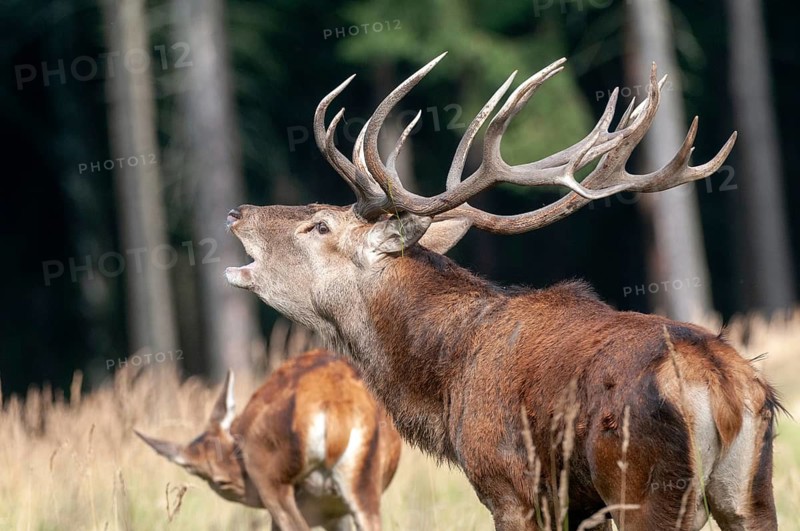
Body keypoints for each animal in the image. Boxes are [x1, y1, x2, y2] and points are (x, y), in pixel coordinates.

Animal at [223, 53, 782, 530]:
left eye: (320, 226)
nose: (237, 212)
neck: (445, 381)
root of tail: (724, 386)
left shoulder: (507, 486)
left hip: (645, 487)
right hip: (749, 493)